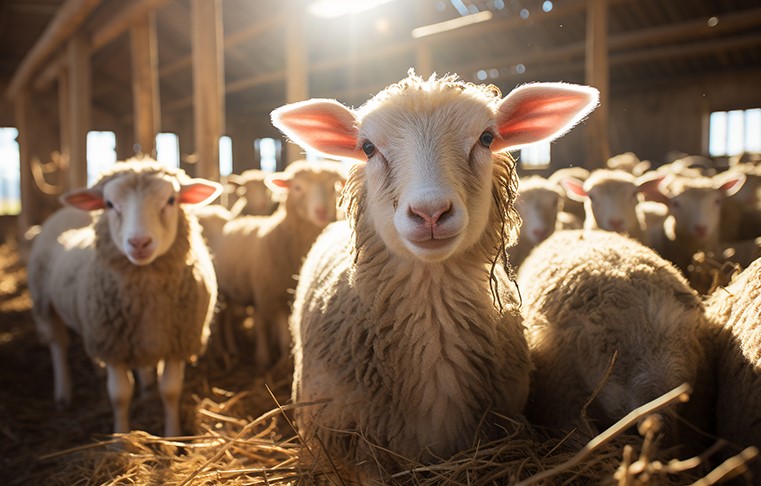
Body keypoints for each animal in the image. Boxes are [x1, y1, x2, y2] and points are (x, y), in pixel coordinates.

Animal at [29, 159, 220, 436]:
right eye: (109, 204)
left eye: (171, 200)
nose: (139, 242)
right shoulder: (112, 344)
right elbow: (120, 395)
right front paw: (120, 438)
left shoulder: (178, 341)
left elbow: (171, 391)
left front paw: (172, 436)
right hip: (45, 302)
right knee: (58, 346)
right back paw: (63, 394)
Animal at [202, 159, 344, 368]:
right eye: (297, 187)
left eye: (333, 187)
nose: (321, 212)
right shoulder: (269, 296)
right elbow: (271, 330)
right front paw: (270, 360)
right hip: (222, 290)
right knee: (220, 319)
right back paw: (224, 352)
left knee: (227, 317)